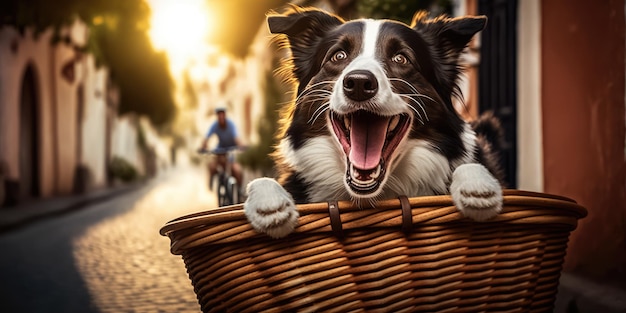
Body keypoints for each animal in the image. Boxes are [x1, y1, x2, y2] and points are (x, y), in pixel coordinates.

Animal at [241, 6, 504, 236]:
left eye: (401, 58)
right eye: (338, 56)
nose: (358, 83)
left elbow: (468, 164)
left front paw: (476, 184)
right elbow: (261, 181)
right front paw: (269, 202)